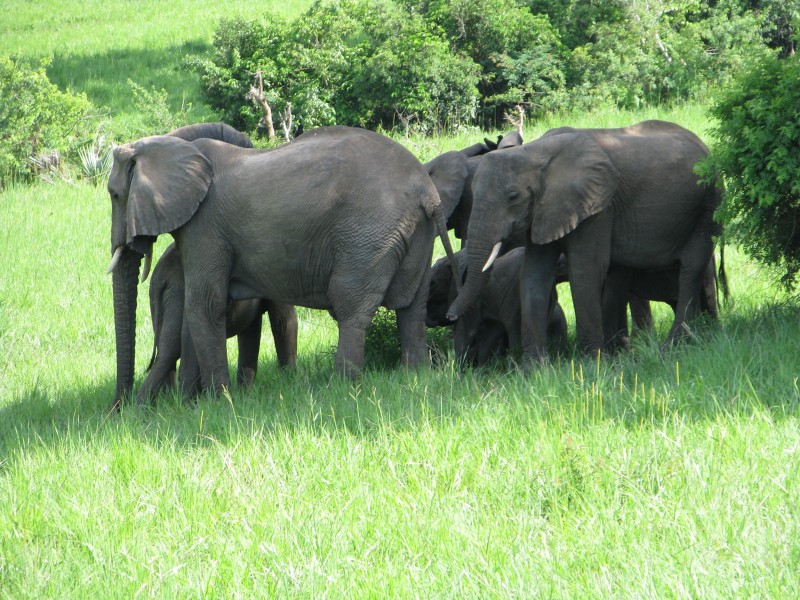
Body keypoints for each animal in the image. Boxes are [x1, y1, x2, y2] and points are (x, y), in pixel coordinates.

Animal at [138, 243, 300, 404]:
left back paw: (161, 402)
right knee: (171, 350)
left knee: (166, 349)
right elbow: (284, 321)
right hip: (178, 294)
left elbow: (250, 331)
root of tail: (160, 277)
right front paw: (289, 382)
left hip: (160, 299)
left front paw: (245, 395)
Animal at [428, 247, 564, 366]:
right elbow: (490, 332)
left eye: (433, 284)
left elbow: (467, 331)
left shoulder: (473, 300)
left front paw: (458, 369)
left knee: (513, 328)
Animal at [446, 119, 720, 358]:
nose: (449, 316)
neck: (534, 152)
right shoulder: (544, 212)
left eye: (513, 197)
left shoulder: (597, 207)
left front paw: (591, 365)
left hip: (706, 205)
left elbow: (585, 271)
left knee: (691, 268)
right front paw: (534, 370)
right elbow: (534, 274)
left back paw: (675, 344)